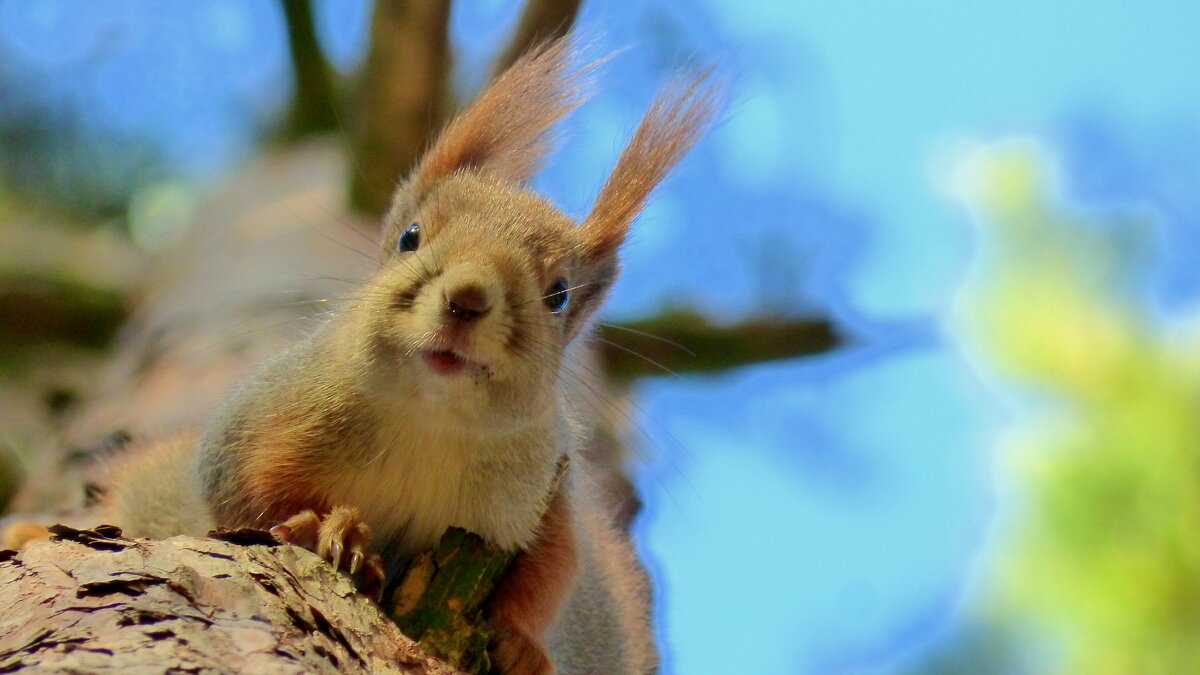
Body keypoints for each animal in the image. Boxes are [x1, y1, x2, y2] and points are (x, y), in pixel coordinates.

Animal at [4, 38, 720, 672]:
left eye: (560, 294)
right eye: (411, 237)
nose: (467, 297)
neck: (429, 421)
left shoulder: (547, 493)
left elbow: (547, 578)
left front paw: (519, 645)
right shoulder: (261, 420)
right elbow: (244, 498)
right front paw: (324, 527)